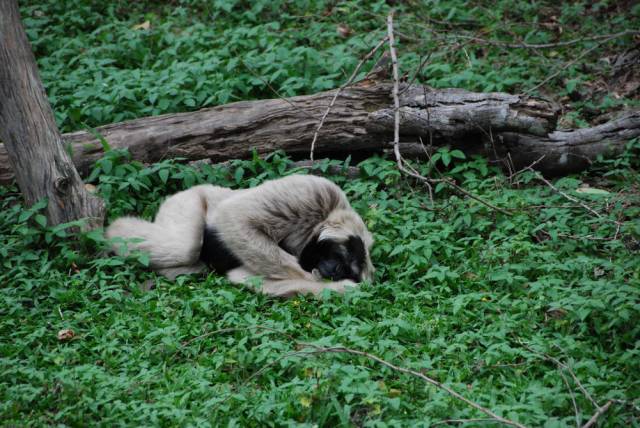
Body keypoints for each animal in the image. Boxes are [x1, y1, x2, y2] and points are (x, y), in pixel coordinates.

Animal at [106, 175, 376, 298]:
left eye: (345, 269)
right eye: (341, 260)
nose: (334, 271)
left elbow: (246, 278)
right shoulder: (313, 193)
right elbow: (235, 216)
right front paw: (314, 278)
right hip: (186, 199)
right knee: (184, 246)